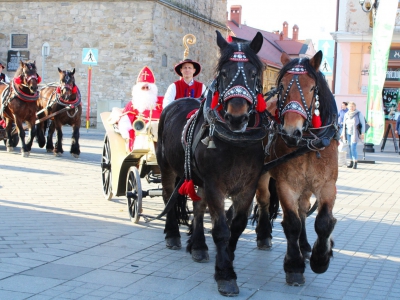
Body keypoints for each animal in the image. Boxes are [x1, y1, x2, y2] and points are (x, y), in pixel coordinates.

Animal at [256, 51, 338, 286]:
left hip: (307, 185)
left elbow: (323, 222)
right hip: (264, 175)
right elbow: (292, 223)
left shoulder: (327, 184)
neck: (308, 143)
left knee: (303, 209)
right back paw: (264, 235)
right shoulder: (286, 185)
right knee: (264, 201)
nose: (291, 132)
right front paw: (294, 266)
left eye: (311, 88)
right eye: (282, 86)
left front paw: (321, 258)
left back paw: (306, 246)